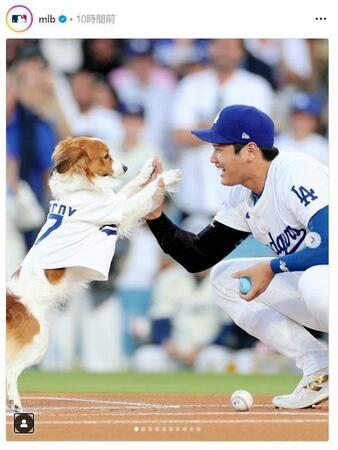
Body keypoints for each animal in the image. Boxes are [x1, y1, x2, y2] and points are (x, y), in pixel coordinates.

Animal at [6, 136, 181, 412]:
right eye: (106, 156)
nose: (126, 167)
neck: (79, 189)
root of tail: (12, 301)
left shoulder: (113, 203)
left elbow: (129, 188)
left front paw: (147, 170)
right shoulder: (118, 210)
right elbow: (142, 194)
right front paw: (168, 176)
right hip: (39, 340)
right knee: (10, 371)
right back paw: (15, 402)